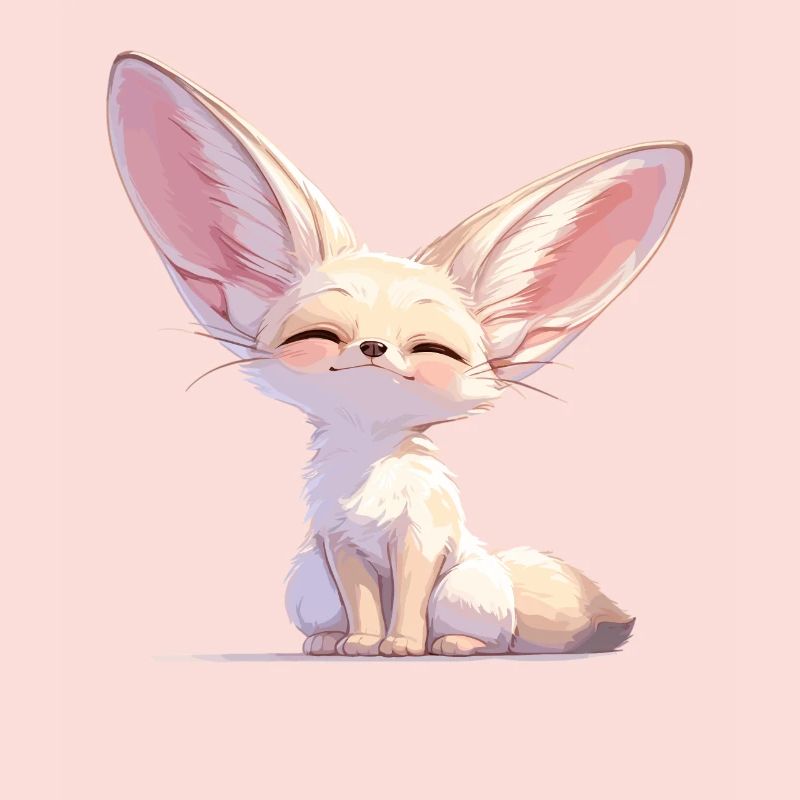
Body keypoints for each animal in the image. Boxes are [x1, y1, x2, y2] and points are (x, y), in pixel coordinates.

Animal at [107, 52, 690, 657]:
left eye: (432, 349)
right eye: (318, 336)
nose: (372, 346)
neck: (370, 474)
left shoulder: (420, 541)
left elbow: (408, 599)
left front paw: (403, 644)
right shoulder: (339, 546)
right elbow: (364, 599)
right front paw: (363, 641)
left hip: (465, 585)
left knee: (494, 635)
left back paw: (454, 644)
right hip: (306, 581)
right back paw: (327, 640)